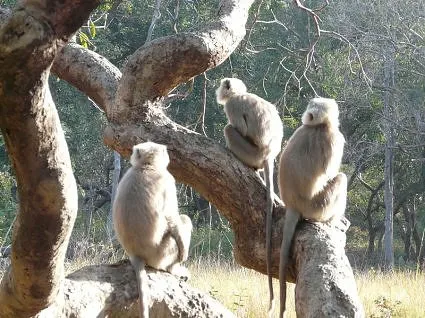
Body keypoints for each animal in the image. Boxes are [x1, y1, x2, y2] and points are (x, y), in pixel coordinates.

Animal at [112, 142, 192, 318]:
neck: (145, 166)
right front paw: (184, 254)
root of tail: (136, 255)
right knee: (184, 221)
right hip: (162, 253)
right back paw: (173, 269)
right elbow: (172, 218)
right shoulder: (167, 180)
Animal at [215, 77, 282, 318]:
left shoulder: (232, 105)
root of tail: (269, 155)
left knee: (230, 129)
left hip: (250, 152)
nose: (218, 91)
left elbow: (241, 128)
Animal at [276, 97, 346, 318]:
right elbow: (330, 173)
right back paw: (334, 222)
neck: (316, 126)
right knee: (341, 179)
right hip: (317, 206)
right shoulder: (334, 138)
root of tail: (292, 204)